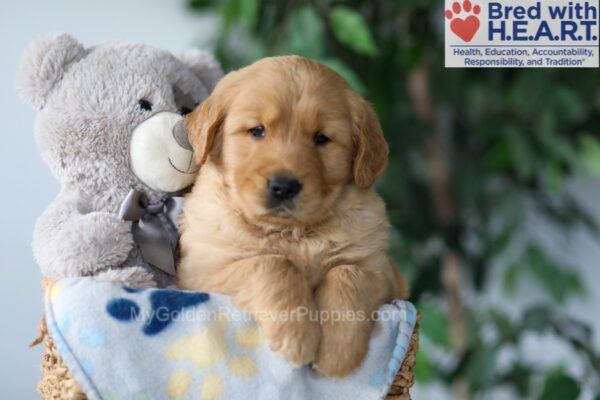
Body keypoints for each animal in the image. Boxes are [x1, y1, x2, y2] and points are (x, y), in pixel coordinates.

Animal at [179, 56, 408, 378]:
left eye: (321, 138)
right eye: (257, 130)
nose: (284, 186)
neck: (293, 234)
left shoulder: (384, 274)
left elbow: (347, 273)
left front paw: (338, 352)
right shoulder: (200, 272)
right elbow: (272, 264)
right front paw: (296, 335)